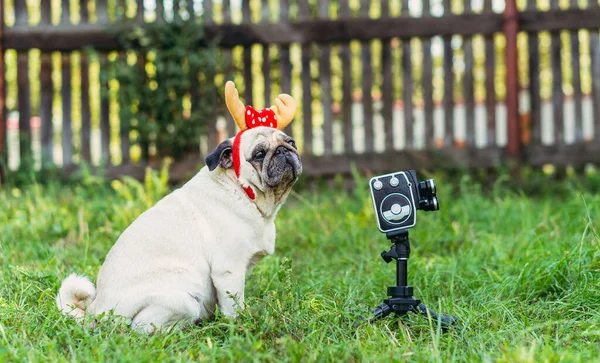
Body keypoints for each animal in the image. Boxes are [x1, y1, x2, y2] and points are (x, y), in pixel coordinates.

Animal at [56, 82, 302, 332]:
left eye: (291, 142)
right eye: (259, 154)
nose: (283, 150)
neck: (242, 190)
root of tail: (96, 311)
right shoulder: (228, 270)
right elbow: (234, 307)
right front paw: (240, 325)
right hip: (184, 299)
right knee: (142, 327)